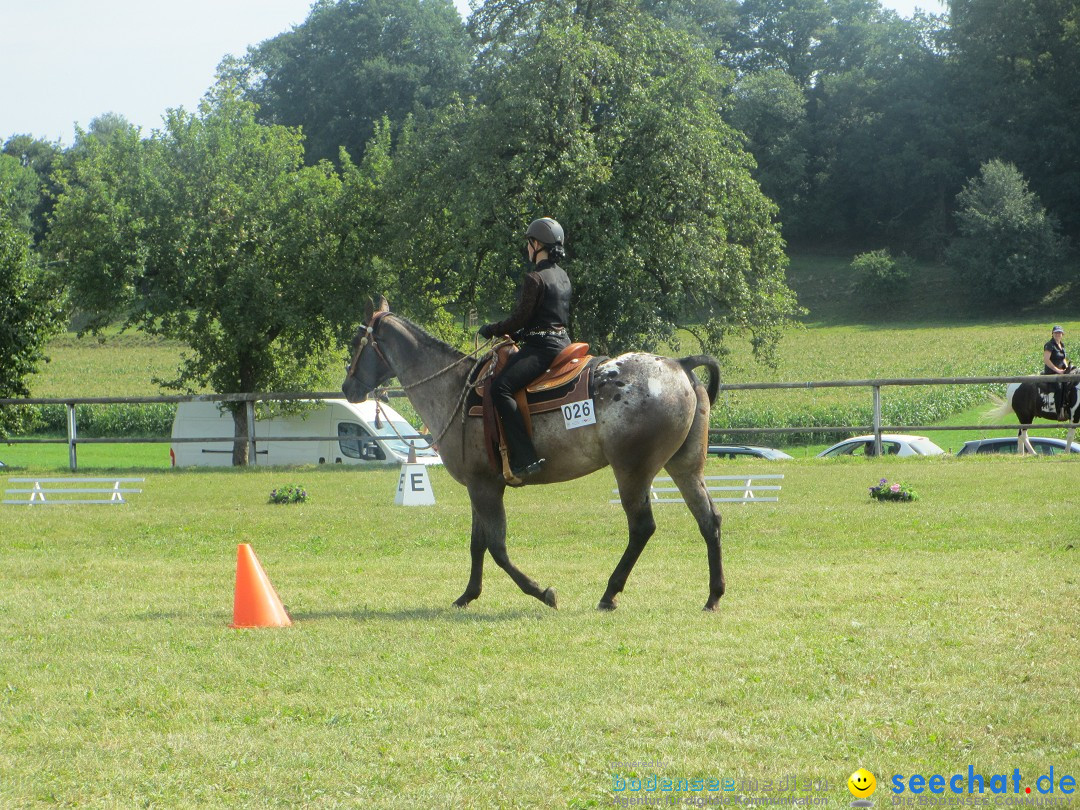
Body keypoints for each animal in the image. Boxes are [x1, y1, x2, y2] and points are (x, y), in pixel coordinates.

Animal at [343, 300, 725, 613]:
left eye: (355, 342)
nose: (348, 388)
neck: (456, 391)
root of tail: (680, 365)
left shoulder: (484, 486)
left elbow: (496, 547)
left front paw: (542, 592)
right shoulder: (480, 486)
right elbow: (478, 544)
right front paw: (467, 595)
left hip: (632, 471)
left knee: (642, 527)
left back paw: (609, 594)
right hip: (685, 467)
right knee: (709, 520)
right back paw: (713, 595)